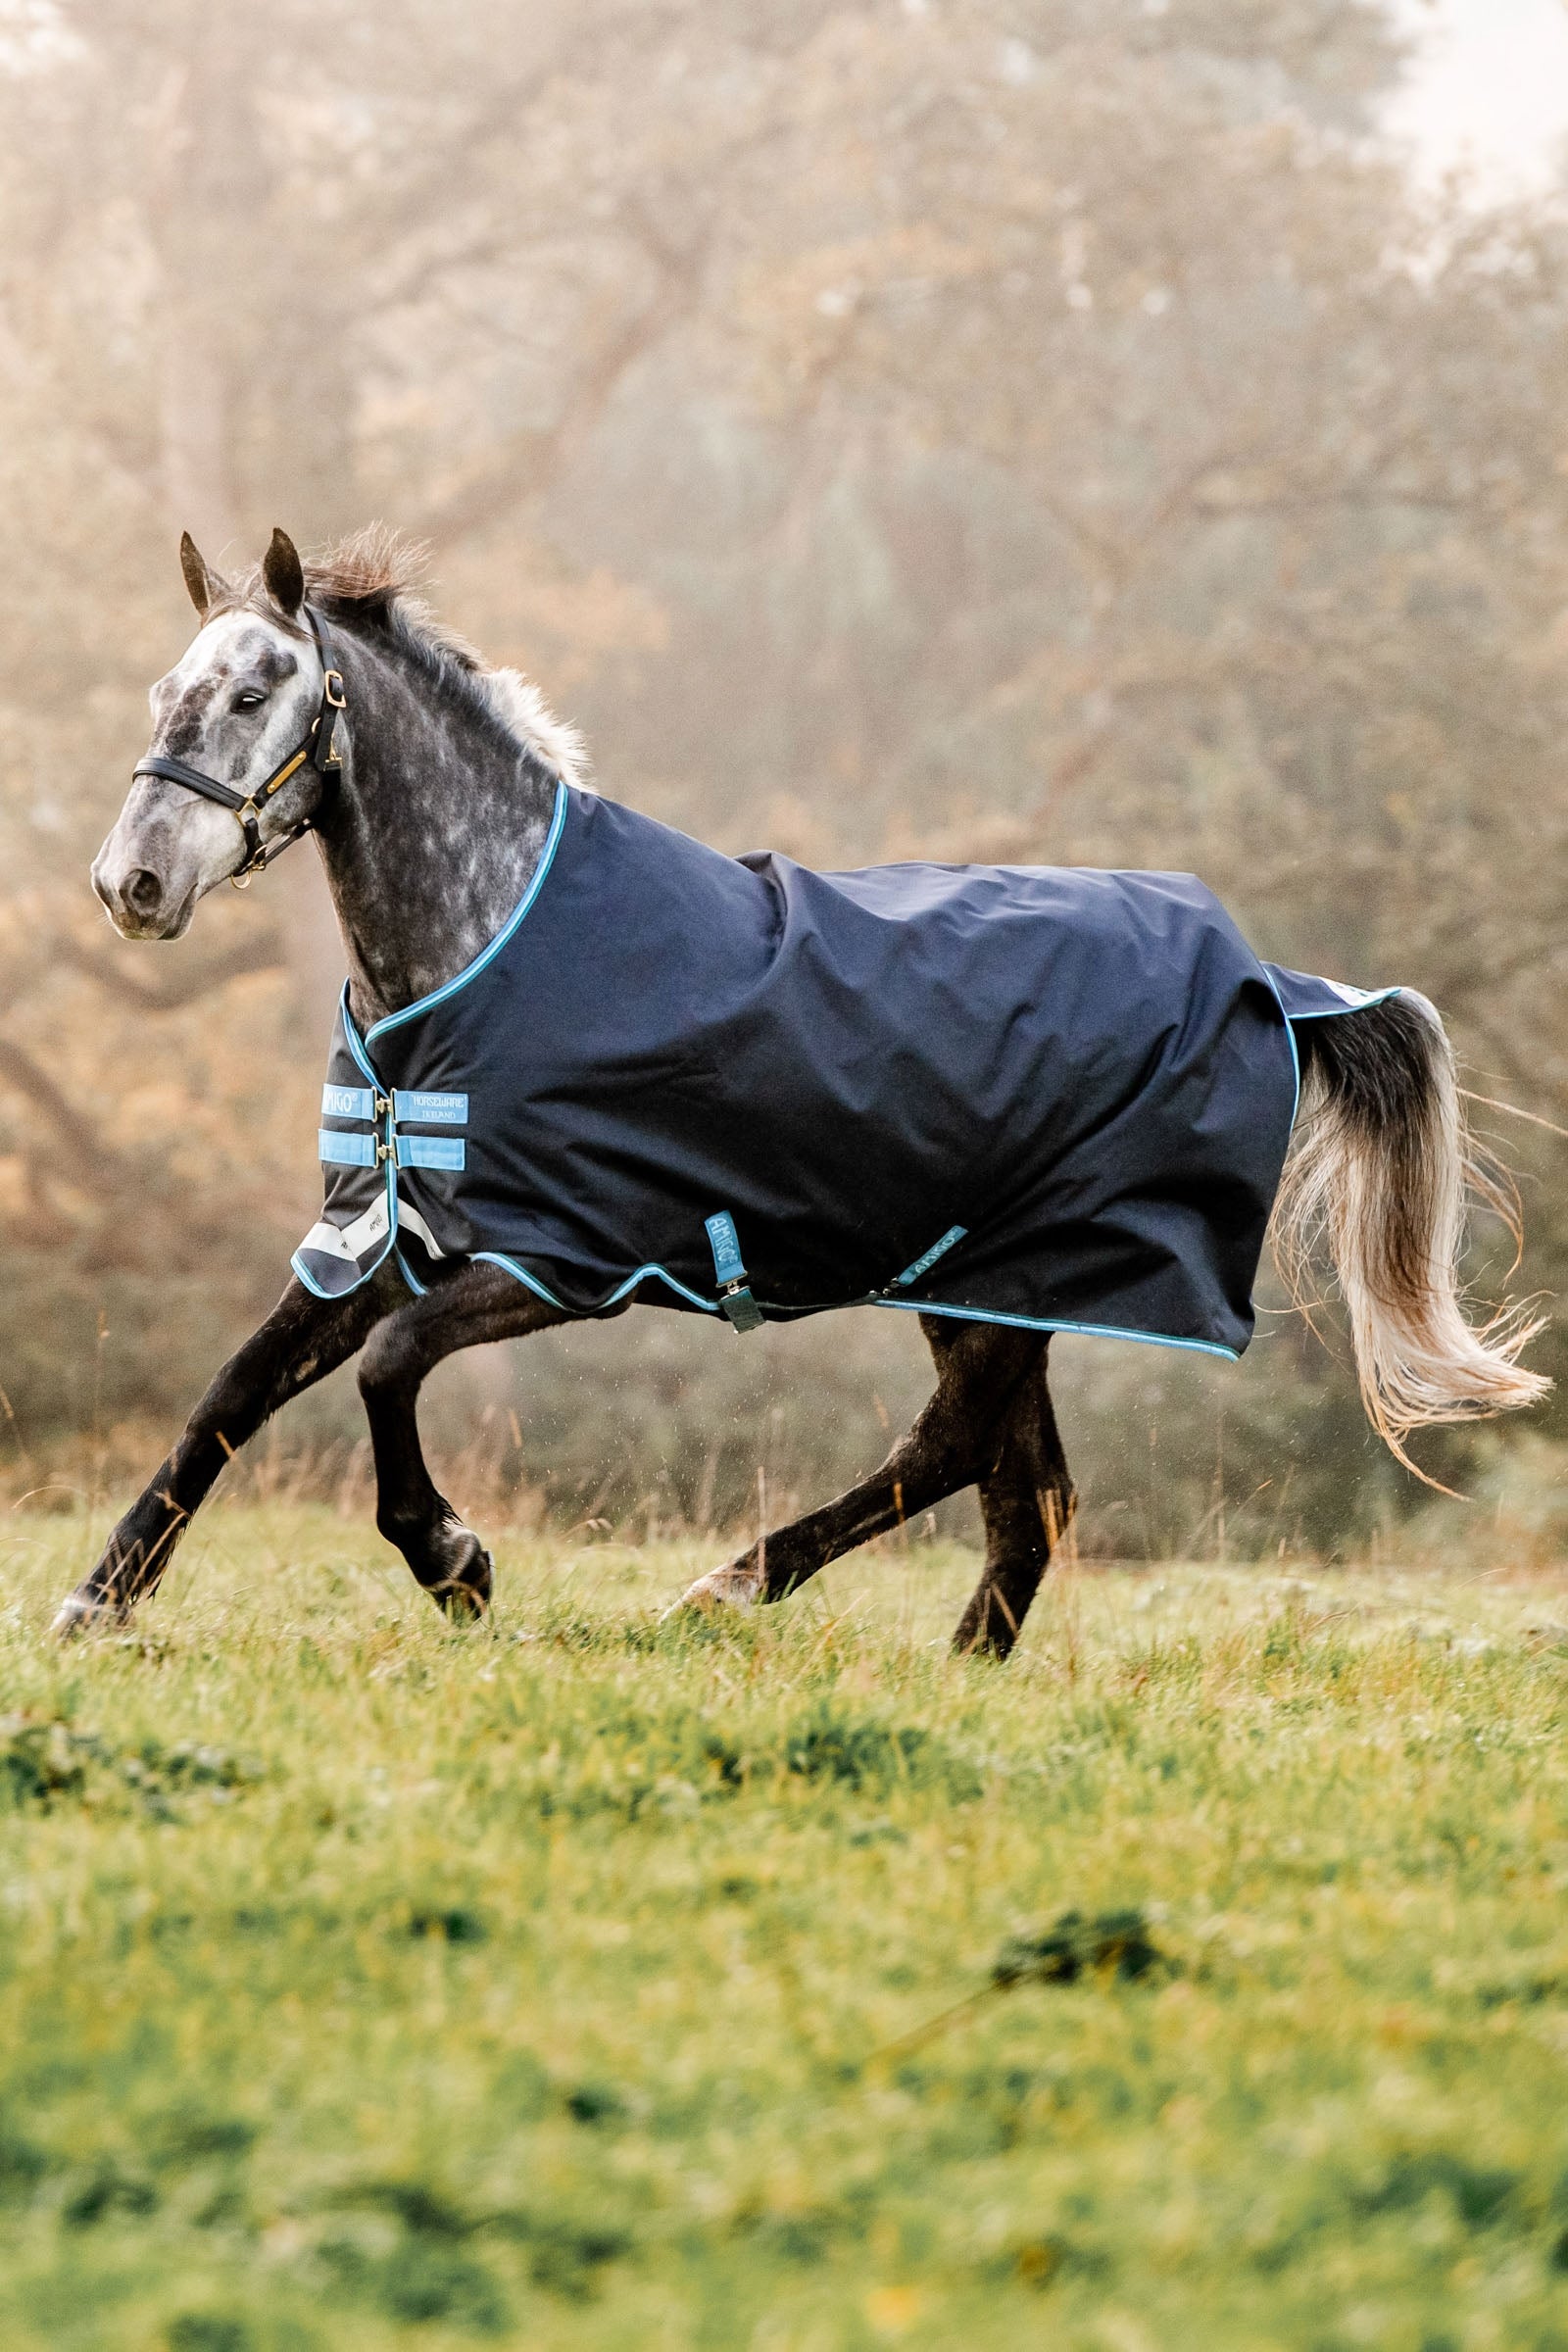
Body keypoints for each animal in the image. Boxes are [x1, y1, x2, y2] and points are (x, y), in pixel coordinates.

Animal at [59, 525, 1548, 1649]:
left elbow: (383, 1373)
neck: (487, 946)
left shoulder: (566, 1261)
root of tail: (1267, 980)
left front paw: (457, 1566)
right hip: (988, 1288)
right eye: (164, 690)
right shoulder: (385, 1236)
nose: (133, 884)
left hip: (1006, 1281)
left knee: (961, 1460)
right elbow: (233, 1393)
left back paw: (723, 1593)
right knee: (1020, 1494)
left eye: (256, 692)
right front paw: (97, 1604)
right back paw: (940, 1665)